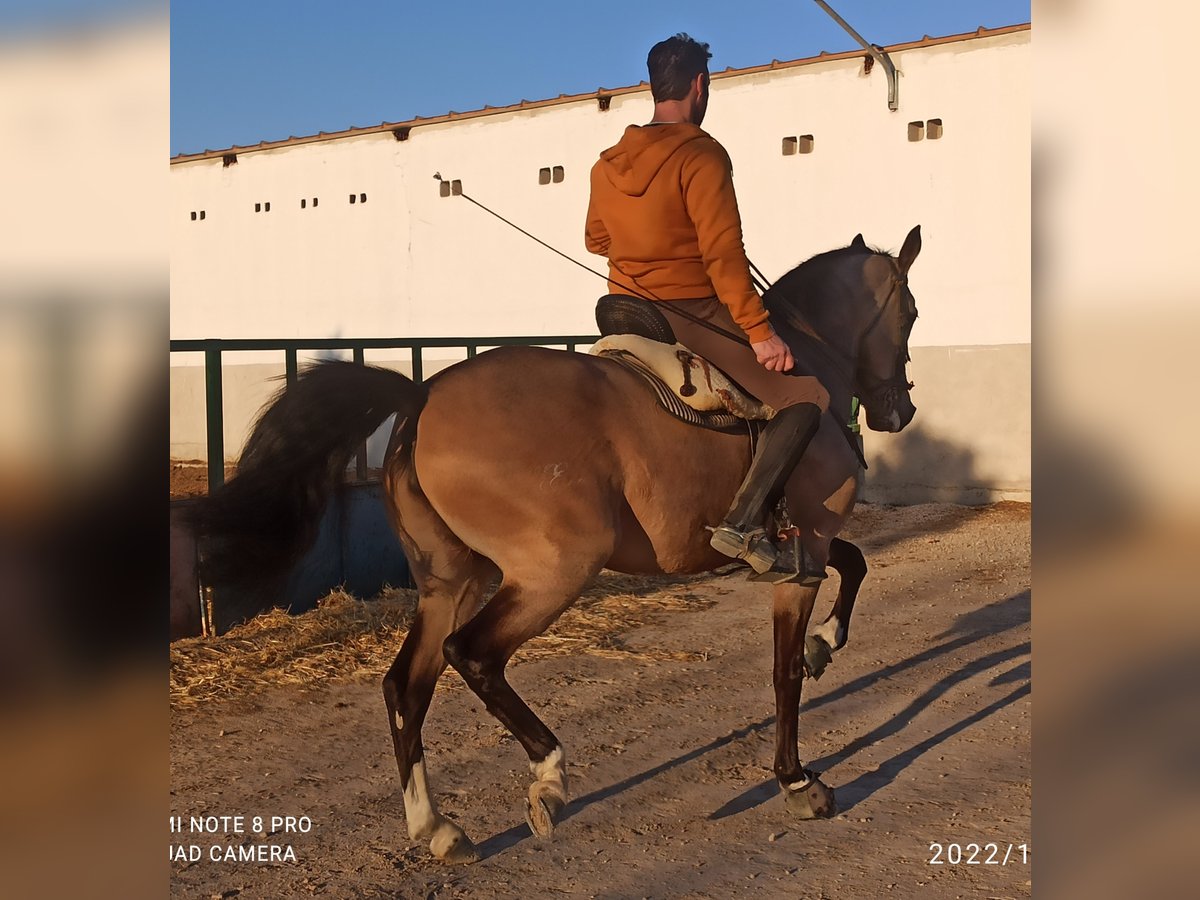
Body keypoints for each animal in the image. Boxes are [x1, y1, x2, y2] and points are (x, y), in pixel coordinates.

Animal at [196, 225, 921, 868]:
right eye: (911, 313)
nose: (901, 412)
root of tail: (424, 393)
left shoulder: (806, 547)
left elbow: (853, 566)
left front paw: (826, 642)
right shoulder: (805, 553)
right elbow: (785, 670)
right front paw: (798, 779)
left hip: (451, 581)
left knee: (407, 685)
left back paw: (437, 829)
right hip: (553, 570)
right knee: (473, 656)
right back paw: (548, 776)